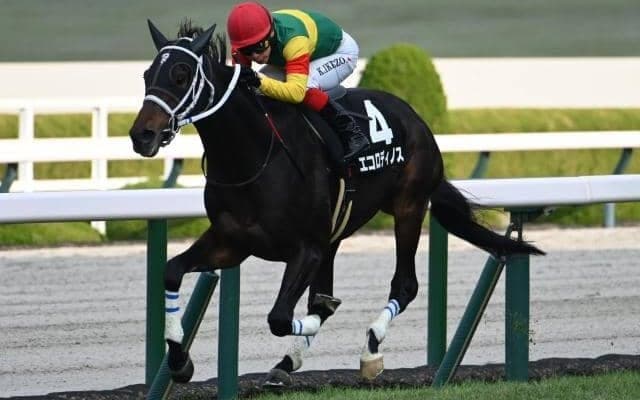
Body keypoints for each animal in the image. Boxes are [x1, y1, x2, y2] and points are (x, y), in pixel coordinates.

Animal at [129, 20, 544, 386]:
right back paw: (286, 363)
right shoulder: (232, 242)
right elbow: (172, 271)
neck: (254, 154)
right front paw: (179, 362)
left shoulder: (306, 248)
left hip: (408, 206)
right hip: (337, 232)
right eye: (148, 75)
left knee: (404, 285)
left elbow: (281, 316)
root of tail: (415, 118)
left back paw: (370, 349)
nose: (142, 135)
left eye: (181, 75)